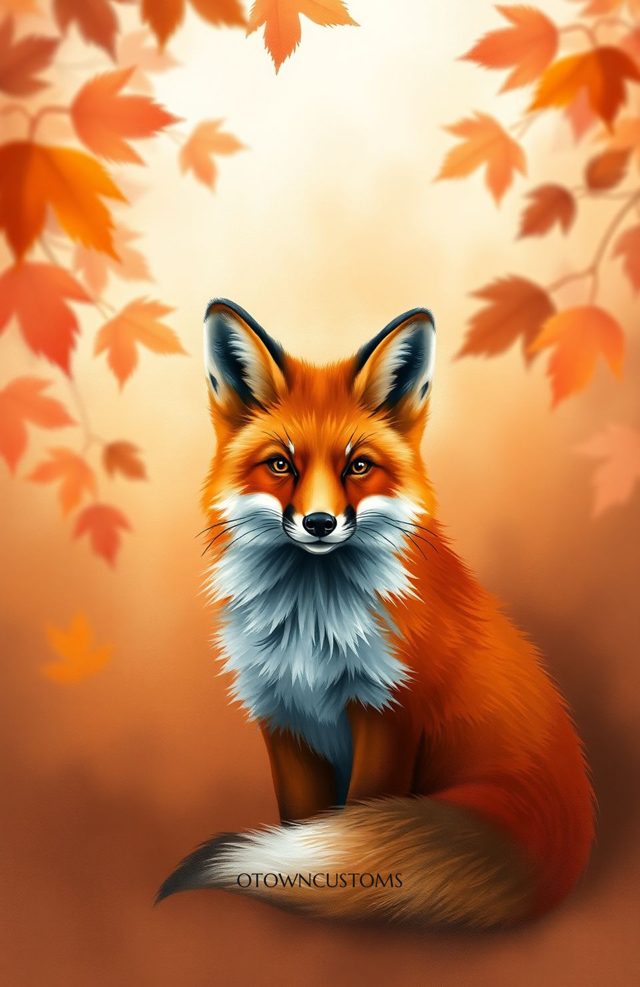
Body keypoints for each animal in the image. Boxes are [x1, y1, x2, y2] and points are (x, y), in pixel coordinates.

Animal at [157, 298, 594, 927]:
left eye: (358, 466)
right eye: (281, 465)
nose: (319, 523)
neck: (311, 629)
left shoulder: (390, 713)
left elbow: (349, 823)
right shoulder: (284, 715)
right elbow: (301, 822)